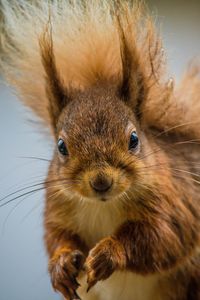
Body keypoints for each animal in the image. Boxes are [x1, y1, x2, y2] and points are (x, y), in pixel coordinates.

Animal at [0, 0, 200, 298]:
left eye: (134, 139)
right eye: (61, 146)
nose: (101, 182)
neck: (102, 206)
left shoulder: (178, 202)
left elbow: (164, 238)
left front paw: (110, 253)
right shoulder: (57, 208)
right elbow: (55, 236)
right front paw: (60, 263)